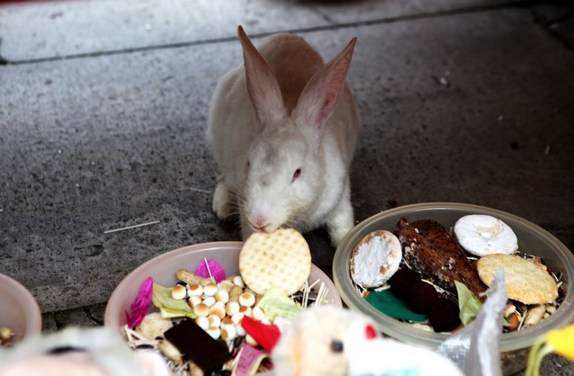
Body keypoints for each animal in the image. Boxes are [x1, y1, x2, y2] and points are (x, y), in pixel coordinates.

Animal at [207, 27, 362, 250]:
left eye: (297, 172)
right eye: (248, 163)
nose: (259, 221)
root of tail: (286, 35)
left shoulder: (340, 200)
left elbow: (342, 226)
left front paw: (345, 243)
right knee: (223, 178)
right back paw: (222, 207)